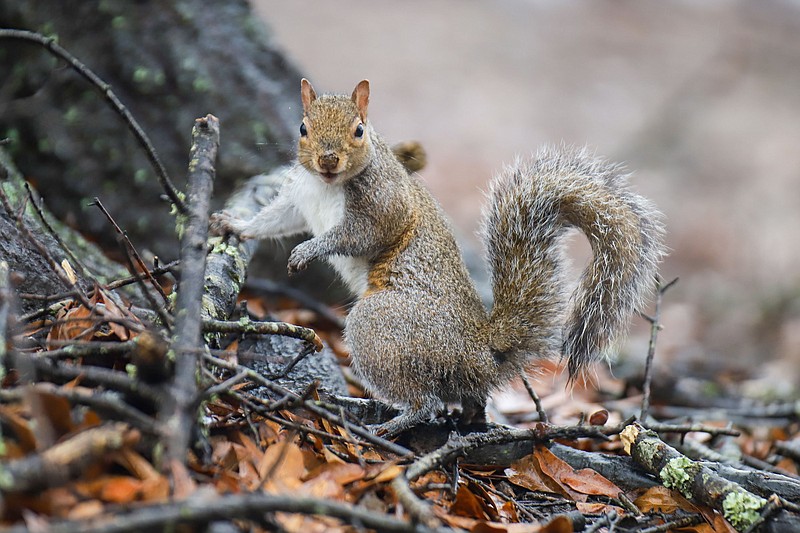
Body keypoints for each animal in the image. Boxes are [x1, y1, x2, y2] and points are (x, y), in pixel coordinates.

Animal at [209, 80, 664, 436]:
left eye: (359, 130)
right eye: (303, 127)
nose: (327, 159)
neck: (327, 184)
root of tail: (484, 352)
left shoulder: (385, 207)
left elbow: (357, 235)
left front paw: (308, 250)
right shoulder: (298, 198)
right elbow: (276, 220)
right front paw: (235, 224)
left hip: (382, 326)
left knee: (426, 402)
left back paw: (393, 421)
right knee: (466, 399)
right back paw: (467, 418)